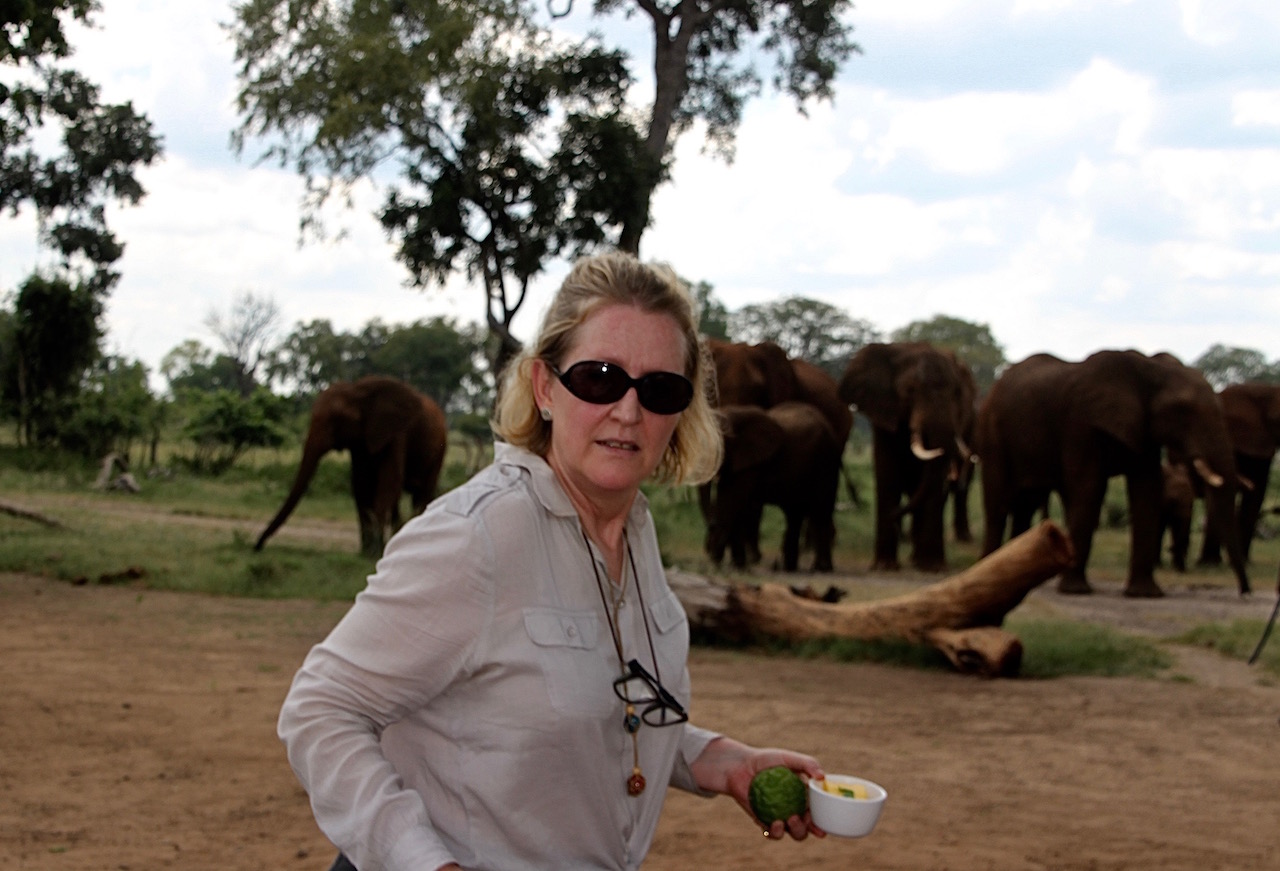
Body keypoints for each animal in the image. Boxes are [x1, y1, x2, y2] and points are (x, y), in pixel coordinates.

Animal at [252, 376, 448, 558]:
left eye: (336, 420)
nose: (256, 547)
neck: (357, 391)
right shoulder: (359, 443)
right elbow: (360, 484)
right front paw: (367, 552)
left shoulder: (397, 434)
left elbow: (388, 482)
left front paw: (374, 553)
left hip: (441, 447)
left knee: (423, 492)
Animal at [706, 402, 844, 571]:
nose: (710, 552)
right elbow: (733, 503)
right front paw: (736, 564)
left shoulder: (752, 463)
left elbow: (731, 500)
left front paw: (722, 561)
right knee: (795, 515)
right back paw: (790, 568)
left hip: (826, 462)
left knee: (820, 511)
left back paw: (821, 568)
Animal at [839, 340, 977, 571]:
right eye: (910, 390)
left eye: (957, 393)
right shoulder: (884, 414)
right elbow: (888, 475)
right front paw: (884, 567)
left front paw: (931, 567)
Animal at [972, 348, 1244, 599]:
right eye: (1183, 411)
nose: (1245, 591)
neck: (1150, 369)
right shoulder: (1081, 423)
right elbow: (1089, 488)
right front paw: (1075, 591)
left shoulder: (1144, 433)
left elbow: (1146, 491)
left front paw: (1145, 594)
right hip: (991, 431)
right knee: (998, 505)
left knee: (1025, 504)